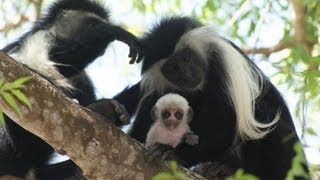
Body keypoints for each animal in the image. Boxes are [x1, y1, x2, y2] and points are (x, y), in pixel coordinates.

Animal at [115, 16, 308, 180]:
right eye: (172, 69)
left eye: (186, 58)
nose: (186, 75)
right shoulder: (159, 86)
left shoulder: (222, 65)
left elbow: (224, 125)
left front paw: (172, 153)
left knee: (266, 117)